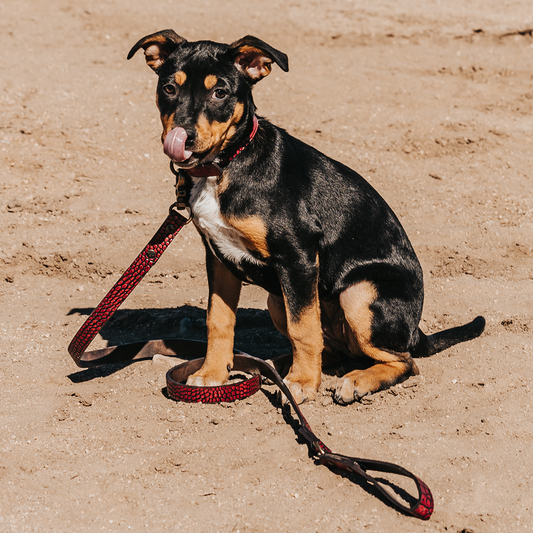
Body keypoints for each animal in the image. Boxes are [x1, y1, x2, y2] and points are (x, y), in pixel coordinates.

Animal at [127, 29, 484, 404]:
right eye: (169, 88)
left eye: (220, 92)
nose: (181, 138)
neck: (224, 166)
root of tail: (415, 331)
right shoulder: (219, 258)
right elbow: (219, 320)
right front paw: (212, 373)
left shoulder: (297, 257)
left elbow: (304, 329)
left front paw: (301, 384)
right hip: (277, 299)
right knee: (336, 350)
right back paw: (276, 365)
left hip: (359, 294)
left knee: (403, 361)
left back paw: (352, 381)